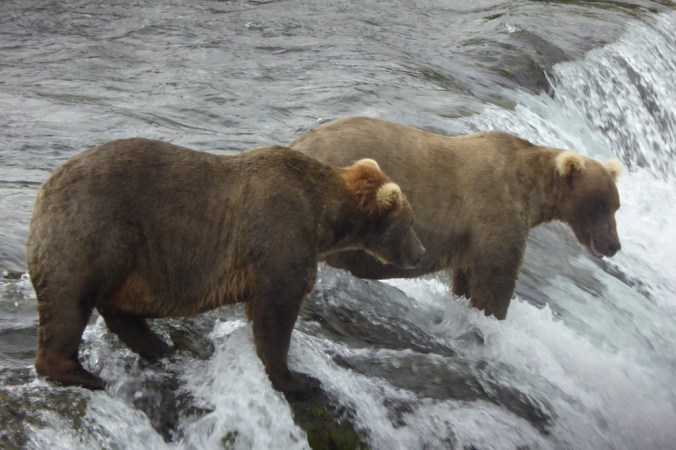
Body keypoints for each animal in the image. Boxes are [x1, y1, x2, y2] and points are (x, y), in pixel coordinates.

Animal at [26, 138, 426, 397]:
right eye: (408, 223)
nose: (420, 253)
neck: (322, 216)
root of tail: (44, 188)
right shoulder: (280, 233)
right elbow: (275, 311)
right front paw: (297, 379)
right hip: (93, 227)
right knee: (69, 300)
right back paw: (82, 374)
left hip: (130, 259)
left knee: (117, 308)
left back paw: (161, 347)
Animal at [290, 116, 623, 320]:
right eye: (599, 206)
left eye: (615, 206)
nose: (614, 245)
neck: (529, 189)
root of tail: (298, 142)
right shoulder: (496, 209)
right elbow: (496, 277)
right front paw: (491, 316)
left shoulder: (471, 238)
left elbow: (468, 275)